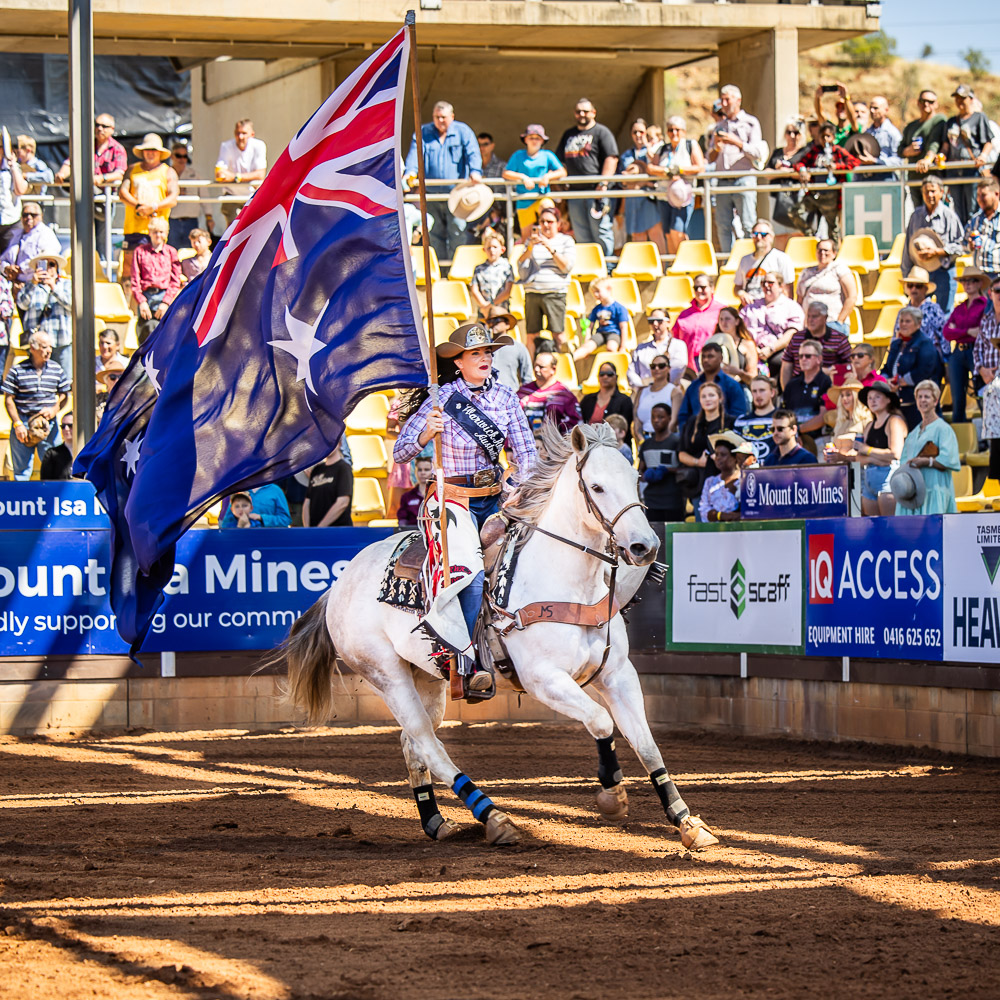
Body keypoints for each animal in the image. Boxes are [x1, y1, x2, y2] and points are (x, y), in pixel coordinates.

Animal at [268, 422, 720, 852]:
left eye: (635, 477)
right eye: (596, 487)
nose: (645, 546)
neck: (566, 581)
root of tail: (338, 585)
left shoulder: (618, 675)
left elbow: (647, 745)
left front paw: (688, 823)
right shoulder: (544, 679)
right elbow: (600, 720)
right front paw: (612, 796)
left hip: (427, 678)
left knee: (413, 743)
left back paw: (436, 821)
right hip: (385, 675)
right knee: (430, 745)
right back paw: (494, 818)